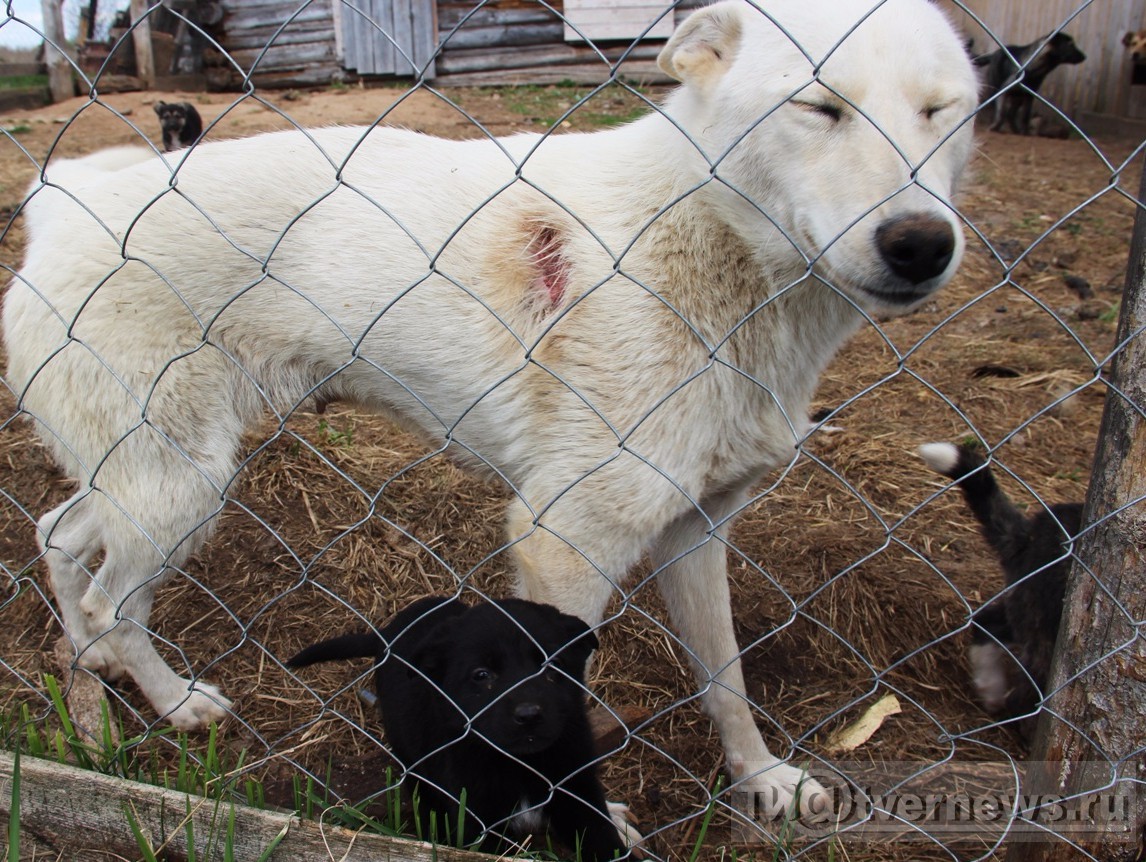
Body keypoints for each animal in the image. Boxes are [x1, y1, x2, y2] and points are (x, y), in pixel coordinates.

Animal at [2, 0, 976, 820]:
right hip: (180, 486)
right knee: (113, 600)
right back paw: (173, 702)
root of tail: (64, 202)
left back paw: (88, 676)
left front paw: (763, 778)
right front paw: (591, 819)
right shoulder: (565, 540)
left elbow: (727, 680)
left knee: (61, 541)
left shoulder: (696, 529)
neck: (716, 255)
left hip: (147, 479)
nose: (922, 244)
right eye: (820, 109)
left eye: (944, 110)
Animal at [286, 596, 628, 857]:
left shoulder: (577, 790)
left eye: (553, 667)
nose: (529, 714)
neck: (519, 764)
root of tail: (389, 632)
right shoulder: (477, 816)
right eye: (482, 675)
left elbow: (605, 841)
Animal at [912, 440, 1081, 738]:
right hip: (1046, 634)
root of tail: (1030, 535)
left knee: (985, 623)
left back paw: (990, 688)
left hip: (1028, 605)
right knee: (1025, 700)